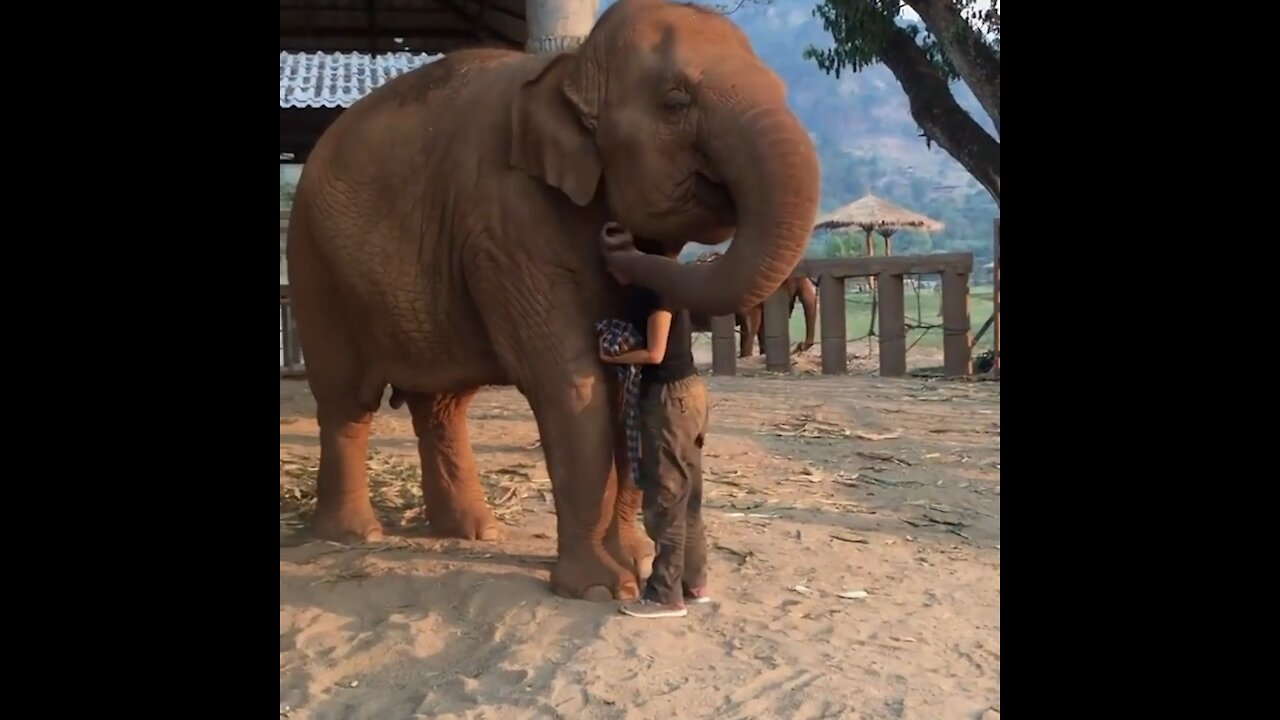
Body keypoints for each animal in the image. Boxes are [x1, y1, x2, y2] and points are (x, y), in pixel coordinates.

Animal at [286, 0, 819, 597]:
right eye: (676, 101)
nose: (616, 241)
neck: (569, 70)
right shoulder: (505, 222)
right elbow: (573, 386)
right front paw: (600, 587)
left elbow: (622, 387)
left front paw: (633, 562)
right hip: (314, 262)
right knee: (345, 399)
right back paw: (354, 536)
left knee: (441, 405)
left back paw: (474, 532)